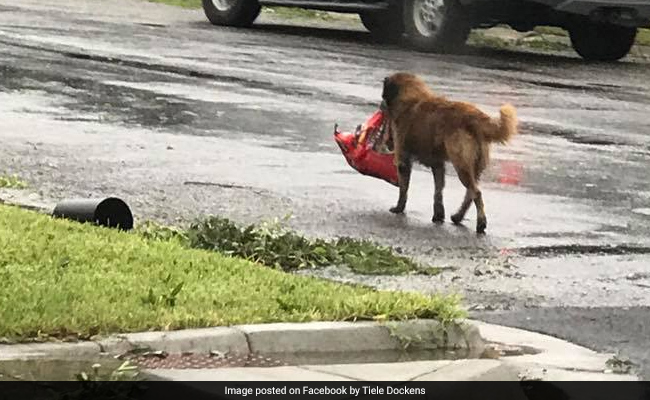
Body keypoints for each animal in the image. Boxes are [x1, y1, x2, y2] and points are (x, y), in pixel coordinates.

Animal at [380, 73, 516, 233]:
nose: (381, 104)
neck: (411, 97)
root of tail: (474, 116)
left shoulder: (403, 160)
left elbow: (404, 189)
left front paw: (399, 208)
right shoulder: (438, 165)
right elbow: (438, 191)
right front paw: (438, 215)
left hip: (461, 165)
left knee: (476, 193)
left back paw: (481, 223)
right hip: (474, 167)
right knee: (470, 193)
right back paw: (458, 216)